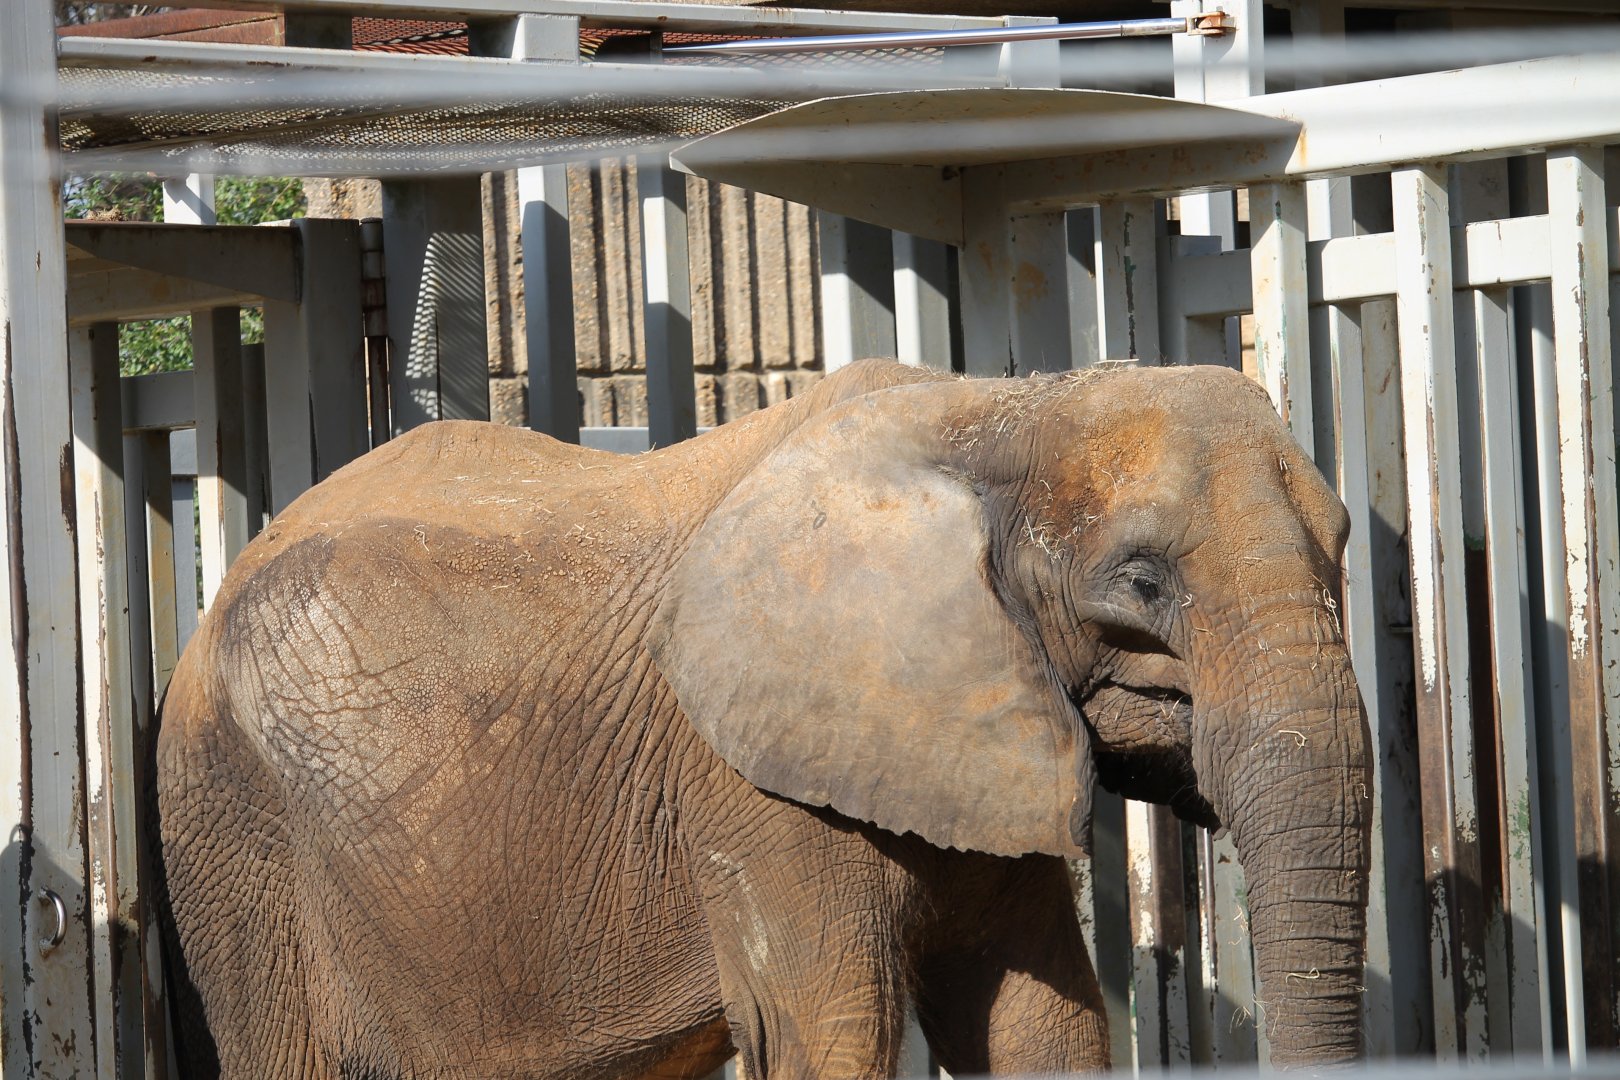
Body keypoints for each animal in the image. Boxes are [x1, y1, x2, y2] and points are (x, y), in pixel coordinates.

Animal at [153, 357, 1371, 1079]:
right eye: (1143, 582)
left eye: (1346, 548)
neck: (996, 411)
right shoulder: (754, 794)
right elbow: (829, 1034)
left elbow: (1045, 1022)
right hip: (235, 846)